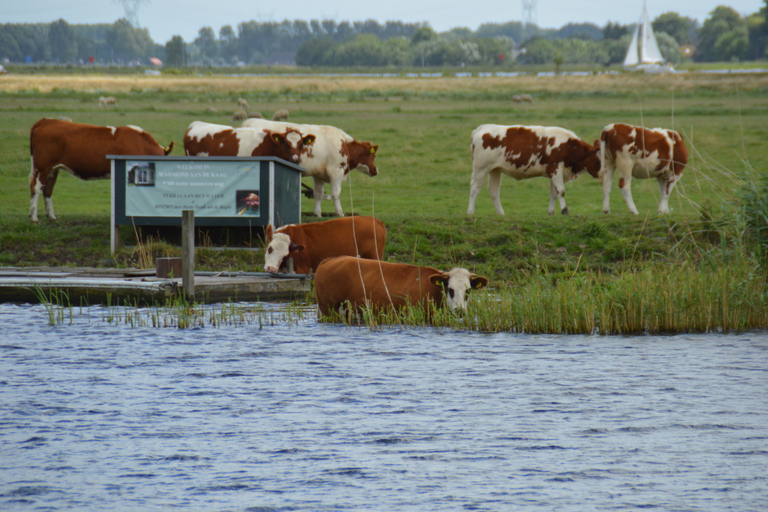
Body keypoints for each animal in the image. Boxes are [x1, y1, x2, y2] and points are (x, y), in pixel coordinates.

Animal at [29, 121, 173, 225]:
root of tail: (46, 121)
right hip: (42, 168)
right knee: (36, 187)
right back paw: (34, 218)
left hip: (53, 169)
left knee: (48, 190)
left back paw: (51, 216)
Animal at [242, 118, 380, 216]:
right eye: (373, 156)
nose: (376, 170)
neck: (343, 144)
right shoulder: (336, 171)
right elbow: (336, 194)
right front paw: (340, 213)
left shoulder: (319, 174)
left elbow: (318, 194)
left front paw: (317, 213)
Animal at [464, 126, 604, 218]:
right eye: (598, 161)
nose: (604, 175)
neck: (567, 147)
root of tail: (481, 129)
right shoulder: (556, 170)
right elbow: (561, 191)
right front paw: (565, 210)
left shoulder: (553, 173)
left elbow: (553, 193)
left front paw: (551, 212)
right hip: (481, 169)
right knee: (475, 188)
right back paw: (470, 211)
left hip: (495, 170)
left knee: (493, 191)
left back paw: (501, 213)